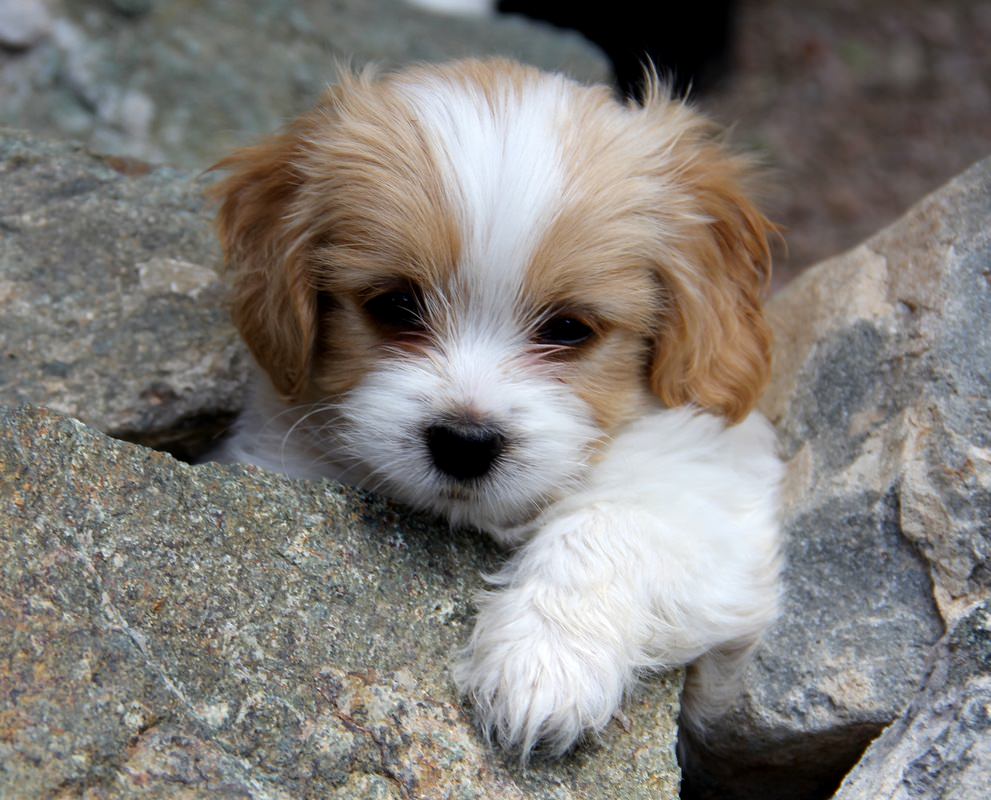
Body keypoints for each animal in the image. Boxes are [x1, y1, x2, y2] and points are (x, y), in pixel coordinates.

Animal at [209, 59, 784, 760]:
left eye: (568, 329)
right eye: (395, 305)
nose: (465, 442)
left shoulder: (714, 492)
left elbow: (612, 525)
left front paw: (544, 663)